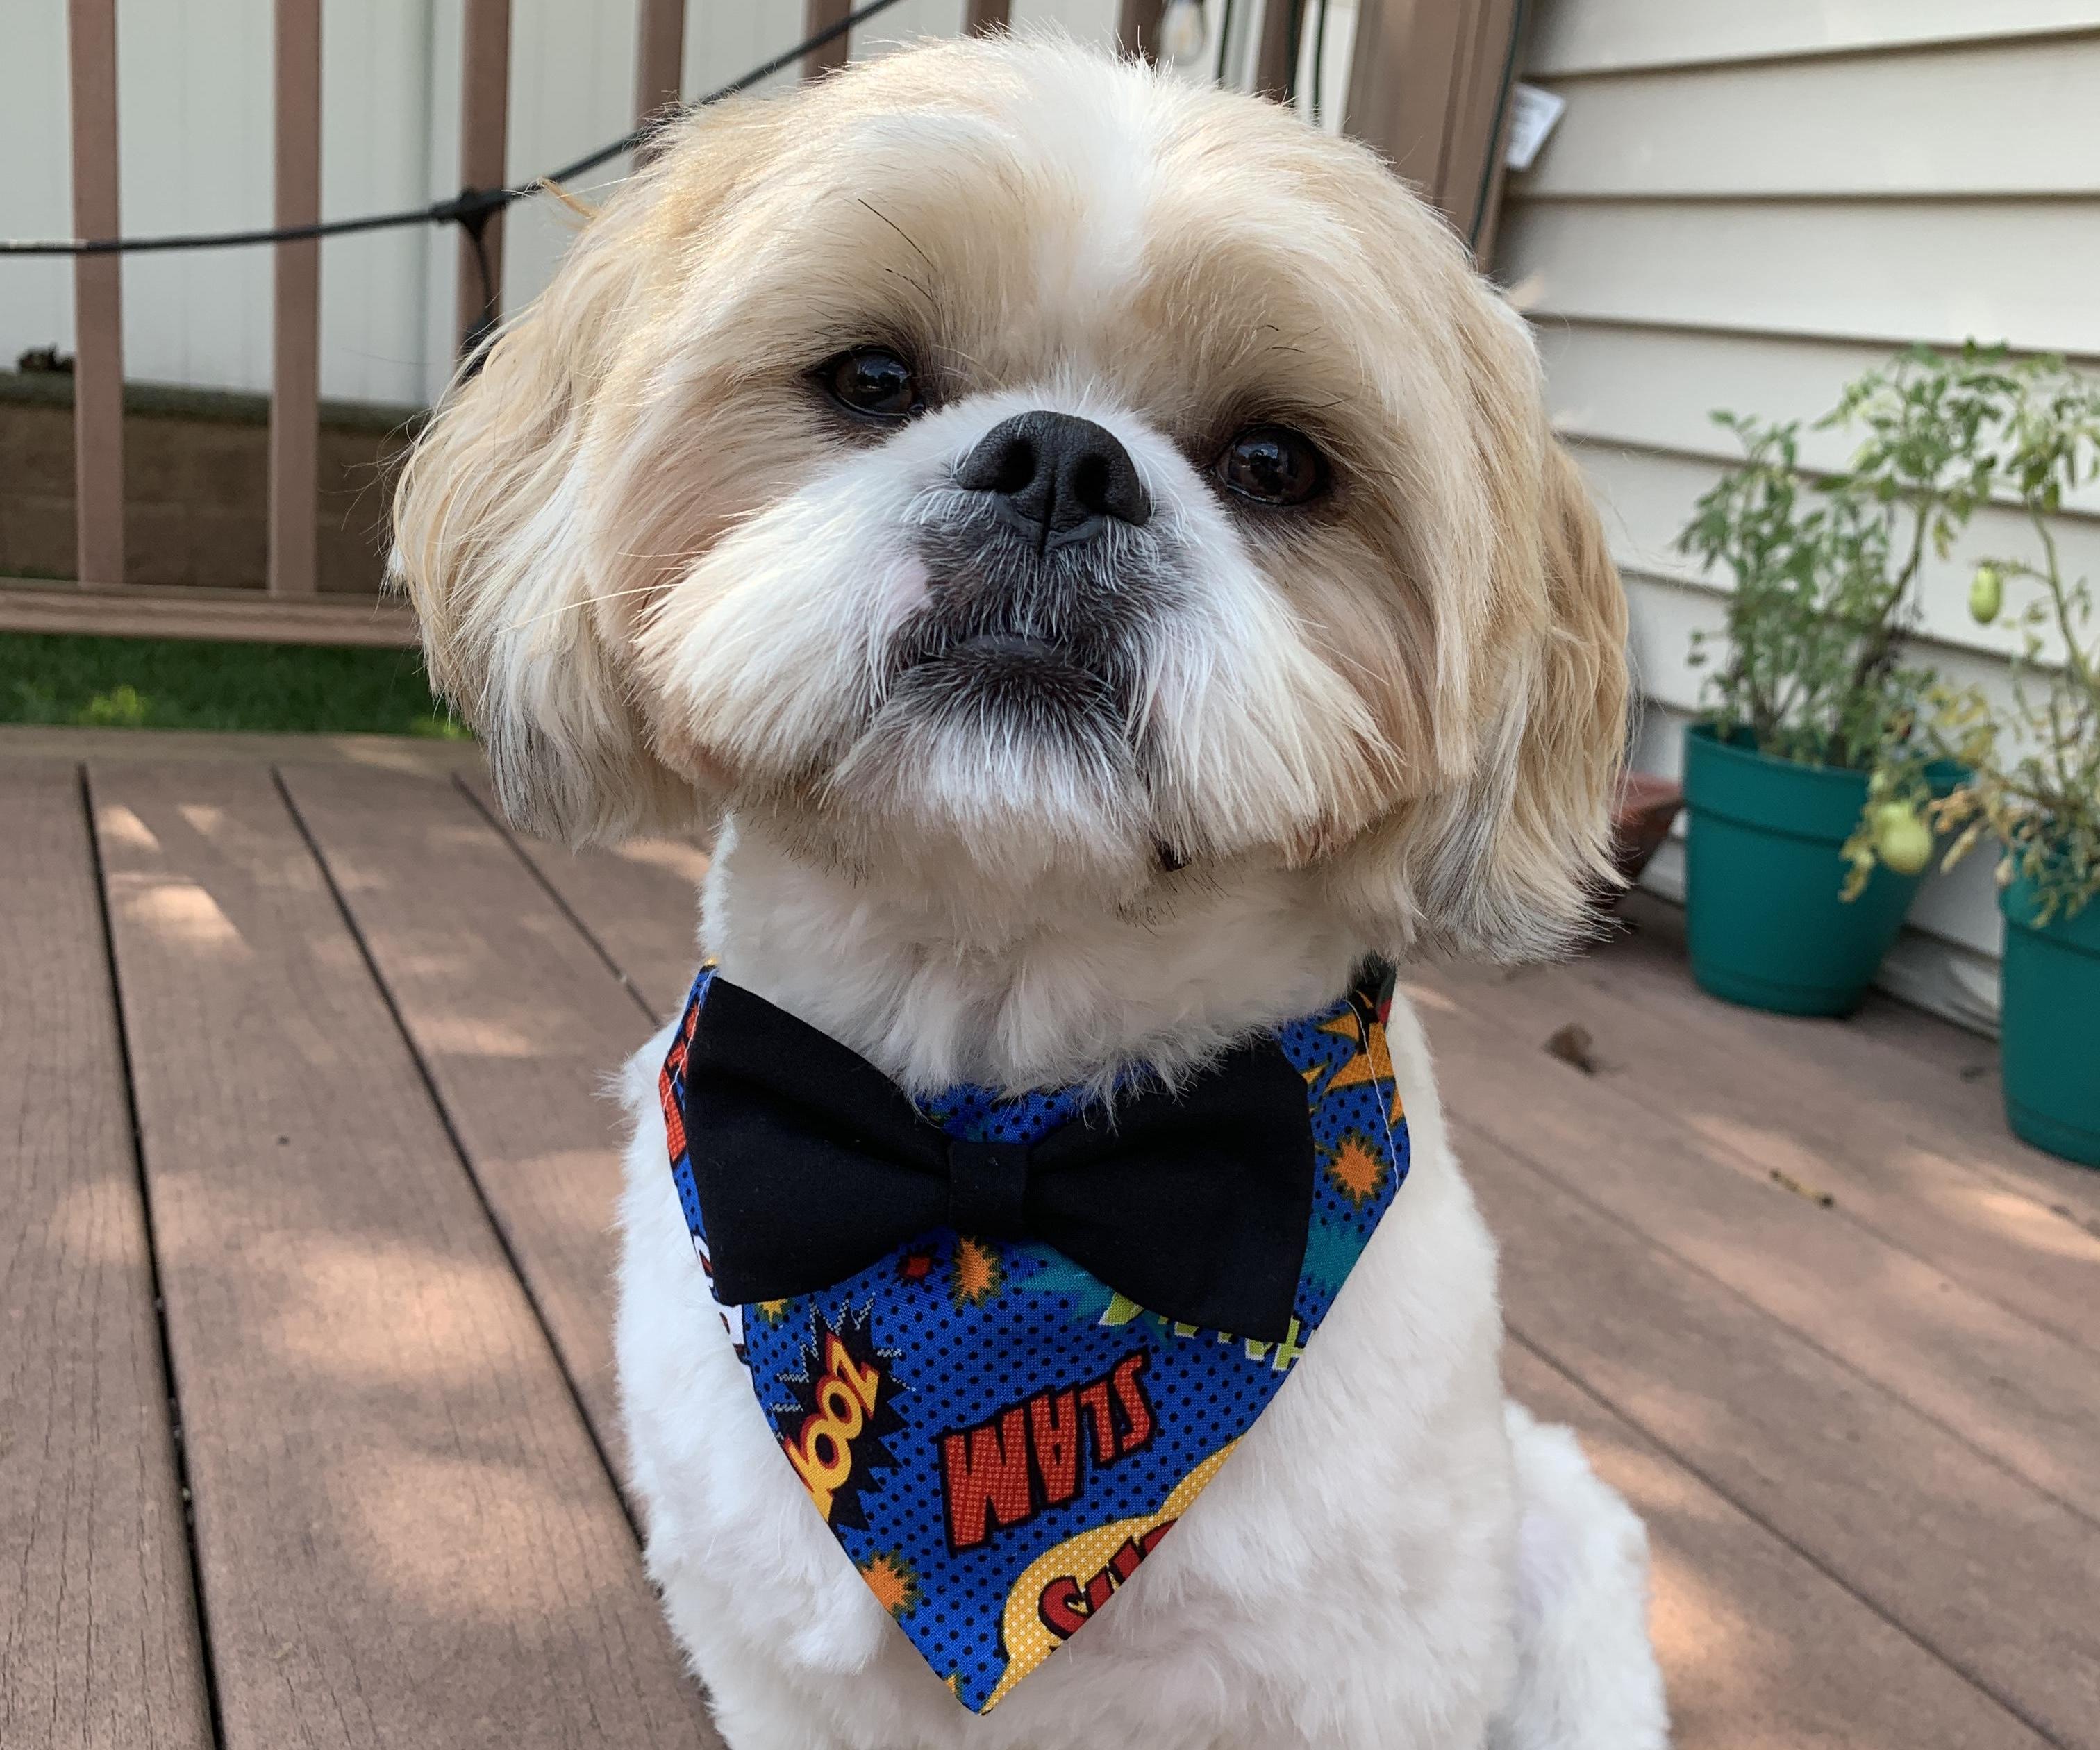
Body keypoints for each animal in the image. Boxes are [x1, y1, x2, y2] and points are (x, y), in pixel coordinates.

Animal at [394, 27, 1663, 1747]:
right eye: (872, 381)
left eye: (1277, 462)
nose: (1063, 458)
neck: (993, 1152)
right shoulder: (772, 1664)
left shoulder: (1369, 1681)